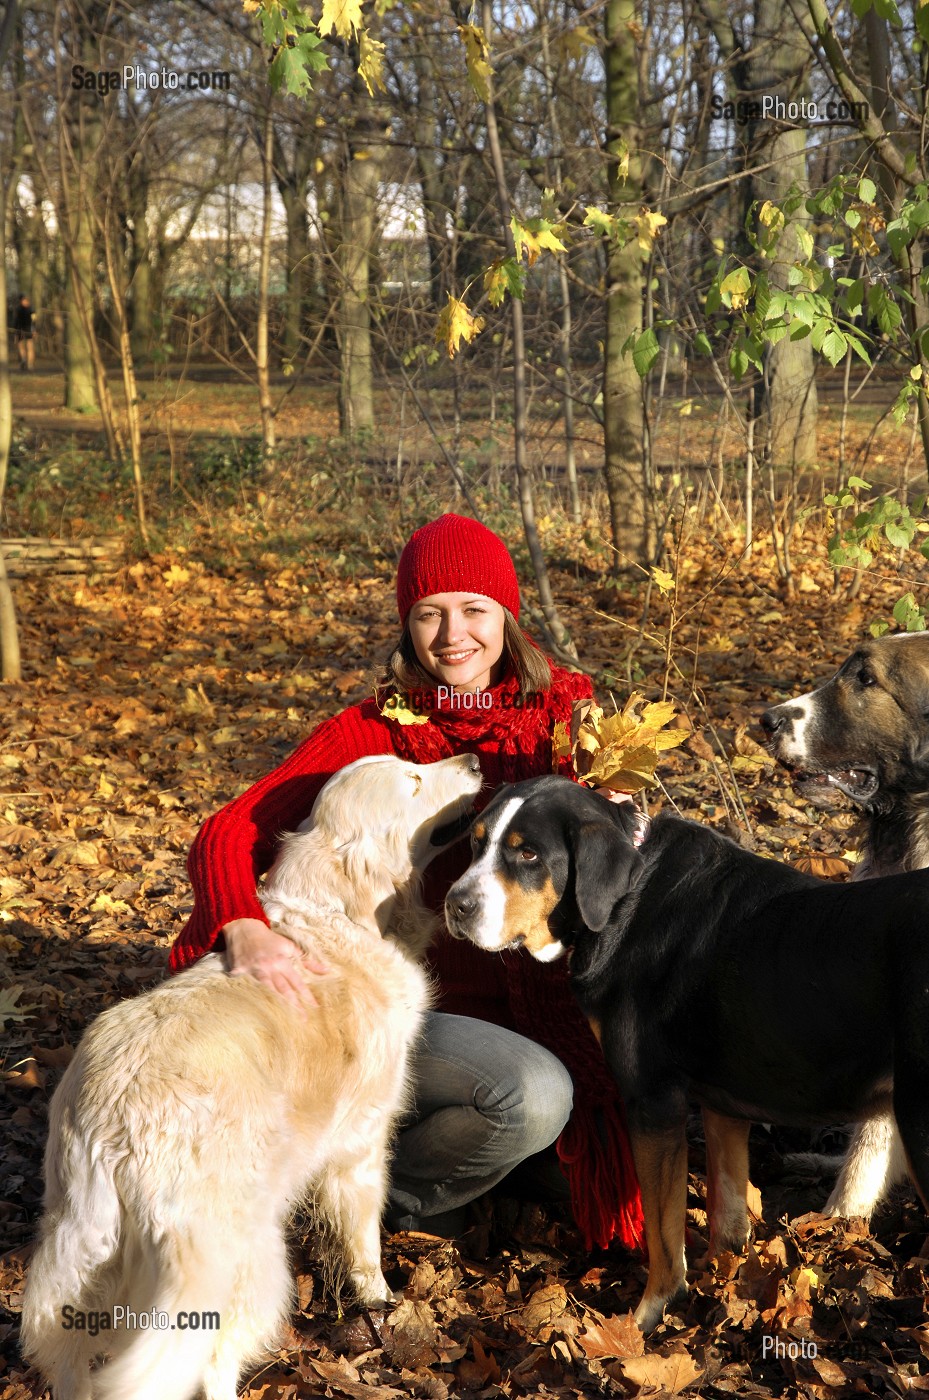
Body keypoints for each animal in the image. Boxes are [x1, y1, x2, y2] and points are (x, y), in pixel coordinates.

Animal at [442, 784, 929, 1327]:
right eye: (476, 842)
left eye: (528, 853)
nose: (455, 905)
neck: (627, 897)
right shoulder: (723, 1106)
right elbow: (727, 1211)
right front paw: (722, 1285)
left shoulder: (653, 1106)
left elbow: (662, 1230)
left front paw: (648, 1316)